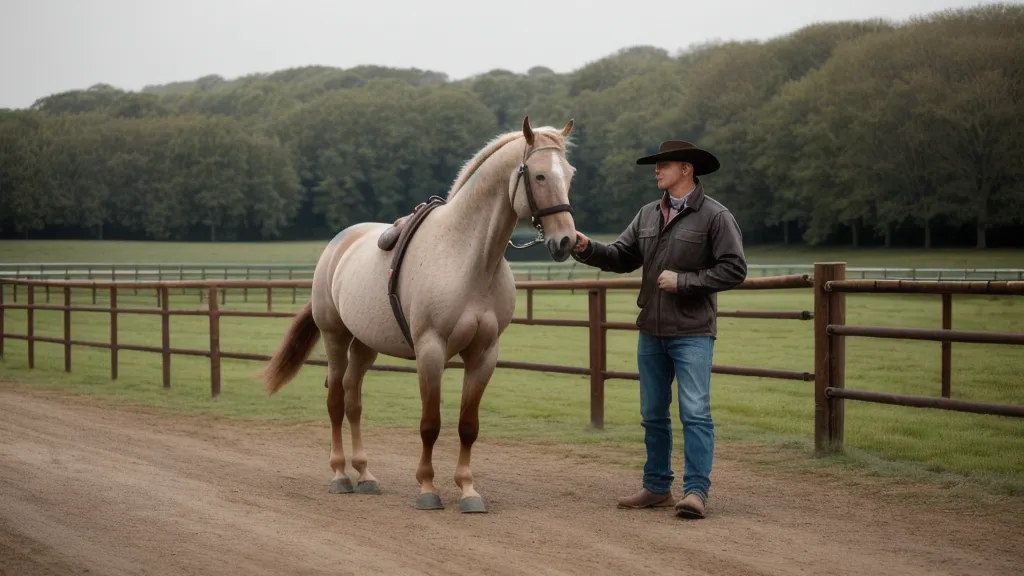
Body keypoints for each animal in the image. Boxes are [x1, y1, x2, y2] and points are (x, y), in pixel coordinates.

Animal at [259, 116, 578, 513]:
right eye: (539, 176)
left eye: (570, 174)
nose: (565, 241)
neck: (469, 258)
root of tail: (338, 244)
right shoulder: (430, 351)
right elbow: (430, 424)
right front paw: (427, 488)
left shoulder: (484, 354)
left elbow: (467, 426)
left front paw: (468, 490)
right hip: (335, 336)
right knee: (335, 403)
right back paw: (340, 475)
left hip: (364, 345)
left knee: (353, 401)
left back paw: (365, 474)